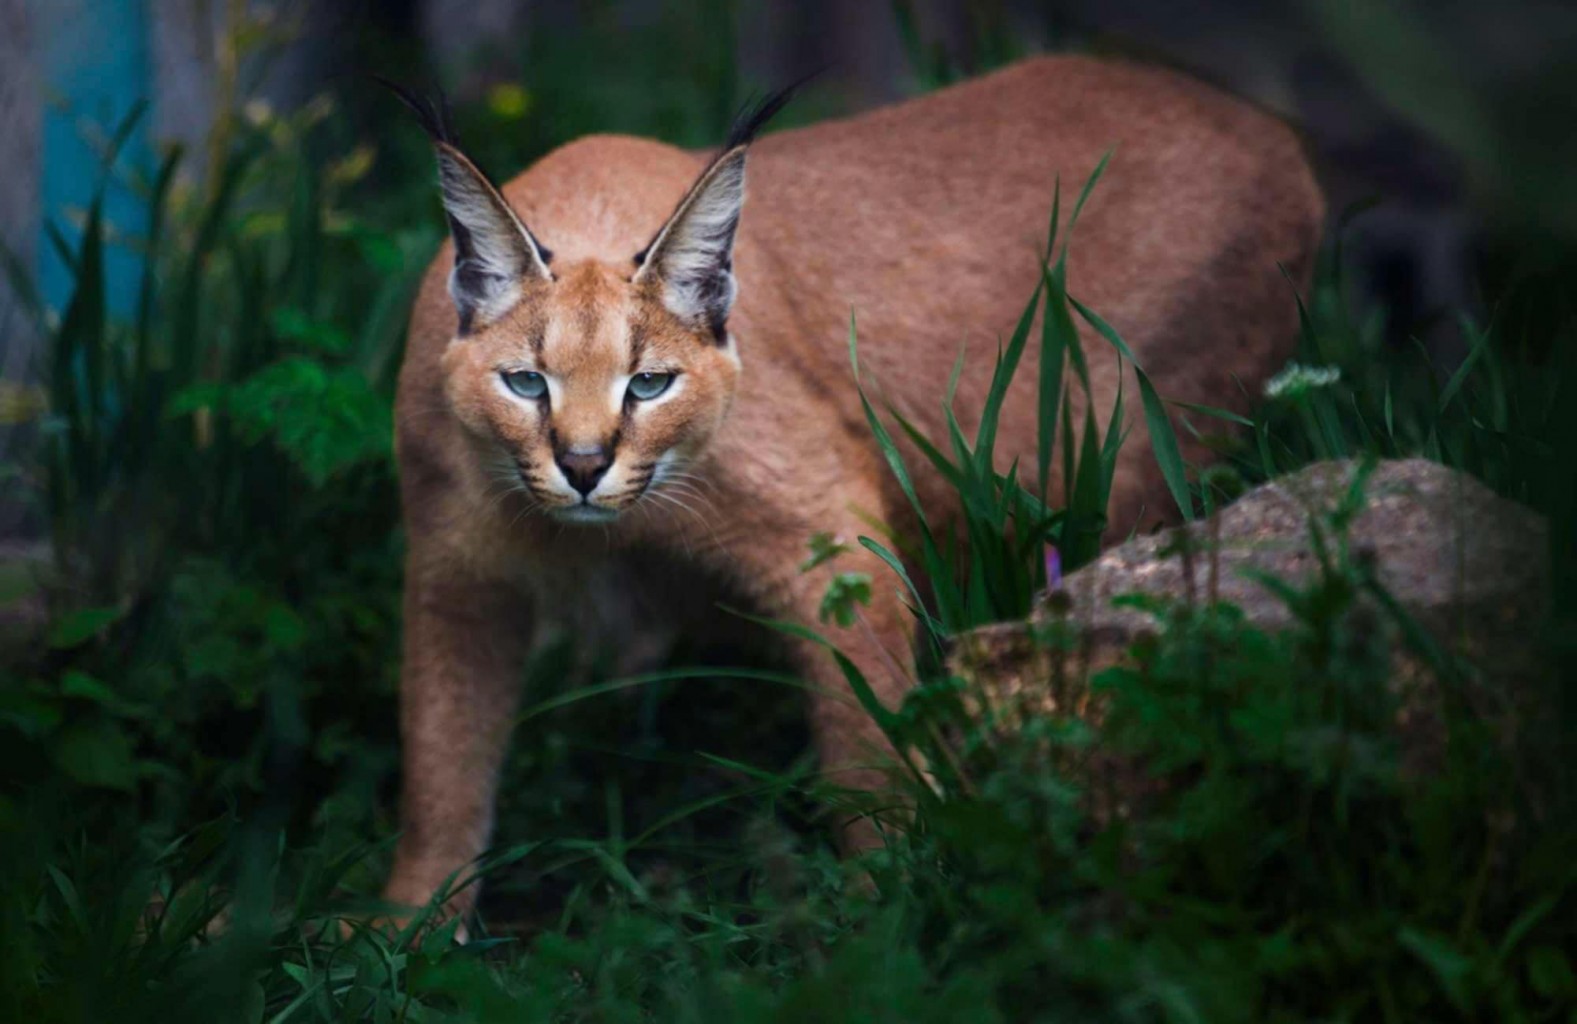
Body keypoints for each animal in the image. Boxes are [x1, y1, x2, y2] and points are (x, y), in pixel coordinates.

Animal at [378, 59, 1318, 927]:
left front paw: (893, 899)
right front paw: (408, 927)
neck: (598, 535)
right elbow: (439, 754)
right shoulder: (456, 571)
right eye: (524, 383)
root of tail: (1260, 123)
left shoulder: (823, 535)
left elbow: (868, 735)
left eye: (648, 384)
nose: (581, 464)